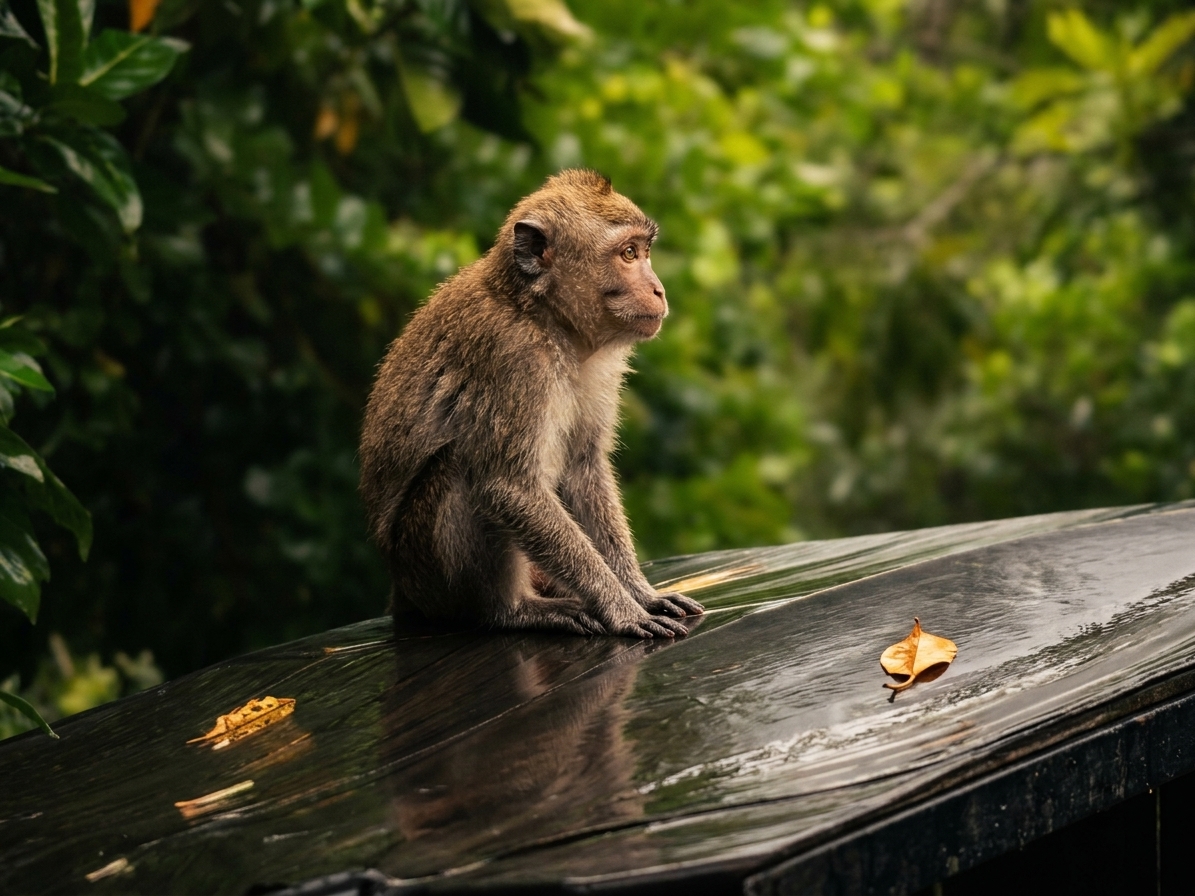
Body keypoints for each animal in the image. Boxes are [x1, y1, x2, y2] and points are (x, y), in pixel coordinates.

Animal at [359, 169, 704, 638]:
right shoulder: (512, 355)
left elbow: (583, 468)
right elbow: (510, 486)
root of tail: (403, 594)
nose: (659, 290)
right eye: (628, 253)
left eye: (643, 251)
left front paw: (640, 593)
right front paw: (621, 608)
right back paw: (514, 609)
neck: (541, 314)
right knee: (459, 465)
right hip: (428, 572)